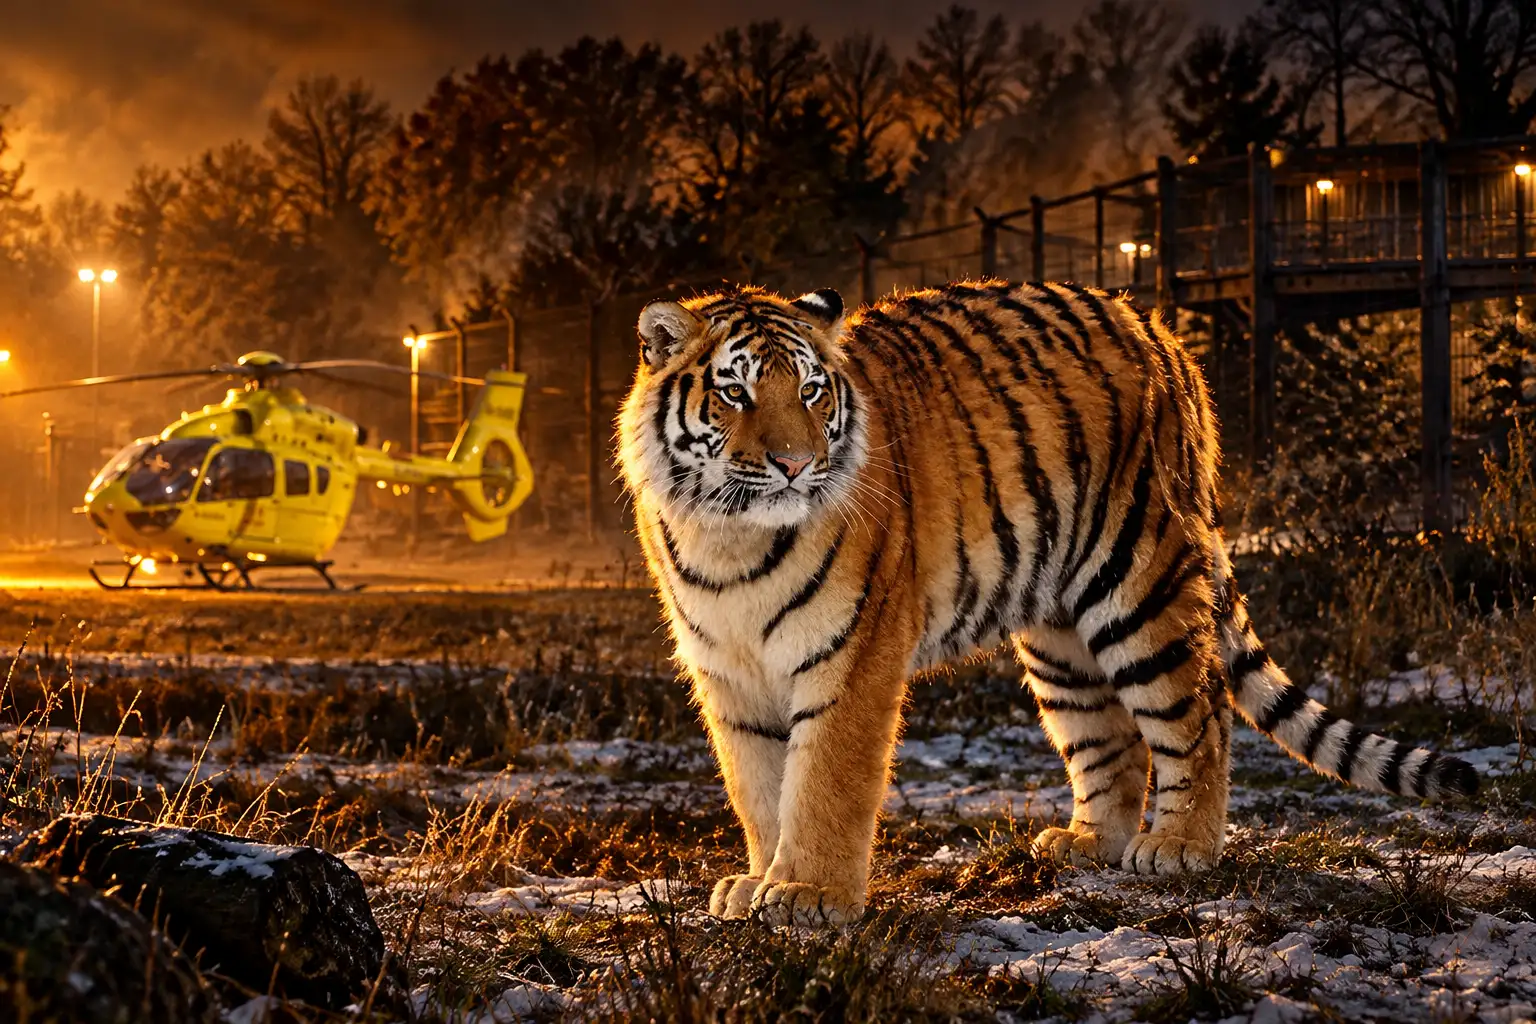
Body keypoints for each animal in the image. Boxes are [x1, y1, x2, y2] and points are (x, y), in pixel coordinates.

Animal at [616, 280, 1478, 927]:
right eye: (734, 392)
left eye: (811, 391)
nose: (797, 464)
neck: (728, 536)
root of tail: (1157, 328)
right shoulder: (729, 676)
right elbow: (759, 789)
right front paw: (757, 883)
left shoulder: (850, 659)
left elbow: (823, 778)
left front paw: (808, 894)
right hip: (1059, 628)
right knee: (1114, 739)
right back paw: (1089, 843)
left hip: (1141, 577)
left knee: (1199, 709)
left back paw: (1180, 847)